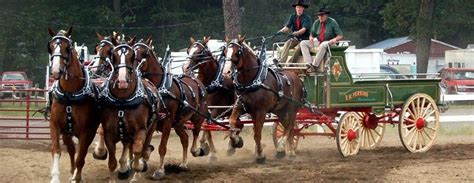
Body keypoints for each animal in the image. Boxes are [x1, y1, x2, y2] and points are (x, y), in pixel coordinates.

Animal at [47, 26, 100, 182]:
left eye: (67, 47)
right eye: (51, 47)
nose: (56, 71)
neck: (70, 94)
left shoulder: (85, 131)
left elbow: (80, 157)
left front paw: (77, 178)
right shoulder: (55, 125)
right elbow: (56, 150)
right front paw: (55, 177)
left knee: (80, 153)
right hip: (67, 132)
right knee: (71, 149)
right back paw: (72, 171)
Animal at [97, 36, 158, 182]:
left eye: (132, 56)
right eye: (113, 54)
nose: (122, 81)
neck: (123, 101)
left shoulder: (141, 130)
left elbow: (137, 152)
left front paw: (137, 171)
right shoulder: (108, 132)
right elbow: (112, 161)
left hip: (151, 128)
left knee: (143, 149)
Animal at [132, 36, 208, 179]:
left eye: (145, 54)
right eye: (132, 52)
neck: (159, 89)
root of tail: (196, 80)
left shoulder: (167, 121)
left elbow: (162, 147)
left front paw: (160, 171)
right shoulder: (151, 122)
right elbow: (144, 146)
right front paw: (139, 167)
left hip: (197, 117)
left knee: (195, 133)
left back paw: (197, 150)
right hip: (178, 123)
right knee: (185, 139)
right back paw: (183, 164)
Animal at [224, 35, 306, 163]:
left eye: (237, 52)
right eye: (225, 51)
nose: (227, 73)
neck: (252, 81)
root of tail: (297, 78)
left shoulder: (261, 111)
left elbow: (257, 134)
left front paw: (260, 156)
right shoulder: (241, 106)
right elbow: (232, 121)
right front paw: (236, 141)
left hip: (292, 109)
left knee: (289, 127)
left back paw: (281, 149)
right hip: (280, 110)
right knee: (289, 127)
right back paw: (291, 151)